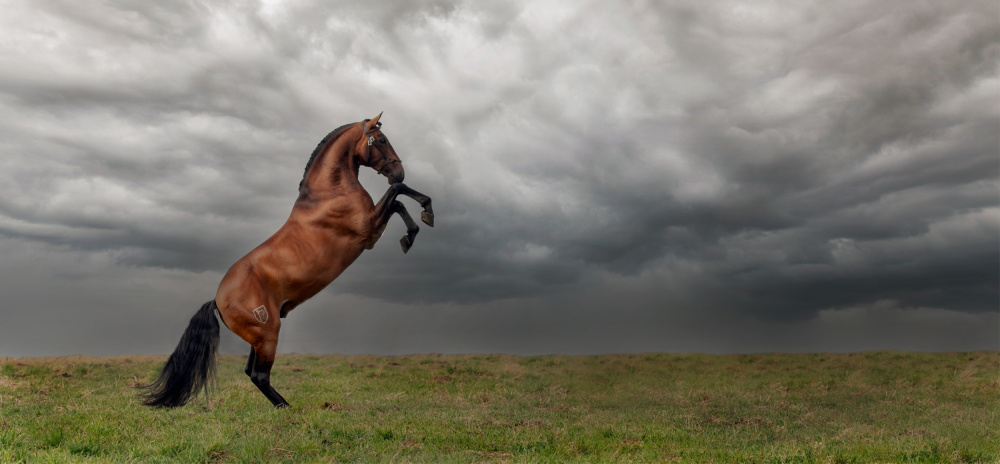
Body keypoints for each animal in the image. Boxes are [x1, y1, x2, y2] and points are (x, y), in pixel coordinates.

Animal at [142, 114, 434, 408]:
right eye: (382, 140)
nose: (399, 171)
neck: (330, 192)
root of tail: (217, 300)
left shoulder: (372, 228)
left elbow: (398, 200)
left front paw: (414, 230)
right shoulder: (369, 229)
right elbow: (398, 193)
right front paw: (422, 218)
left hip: (259, 338)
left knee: (251, 372)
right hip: (268, 334)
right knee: (259, 375)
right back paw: (288, 408)